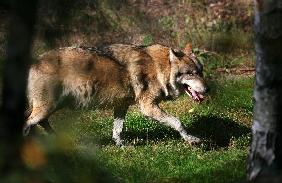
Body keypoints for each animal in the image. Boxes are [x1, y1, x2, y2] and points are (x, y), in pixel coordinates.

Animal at [24, 43, 208, 146]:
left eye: (201, 72)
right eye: (190, 73)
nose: (208, 89)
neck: (158, 68)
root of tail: (33, 62)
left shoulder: (121, 106)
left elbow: (117, 130)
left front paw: (122, 146)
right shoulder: (148, 107)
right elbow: (178, 122)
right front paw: (191, 139)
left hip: (50, 108)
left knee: (40, 123)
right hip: (46, 108)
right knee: (28, 123)